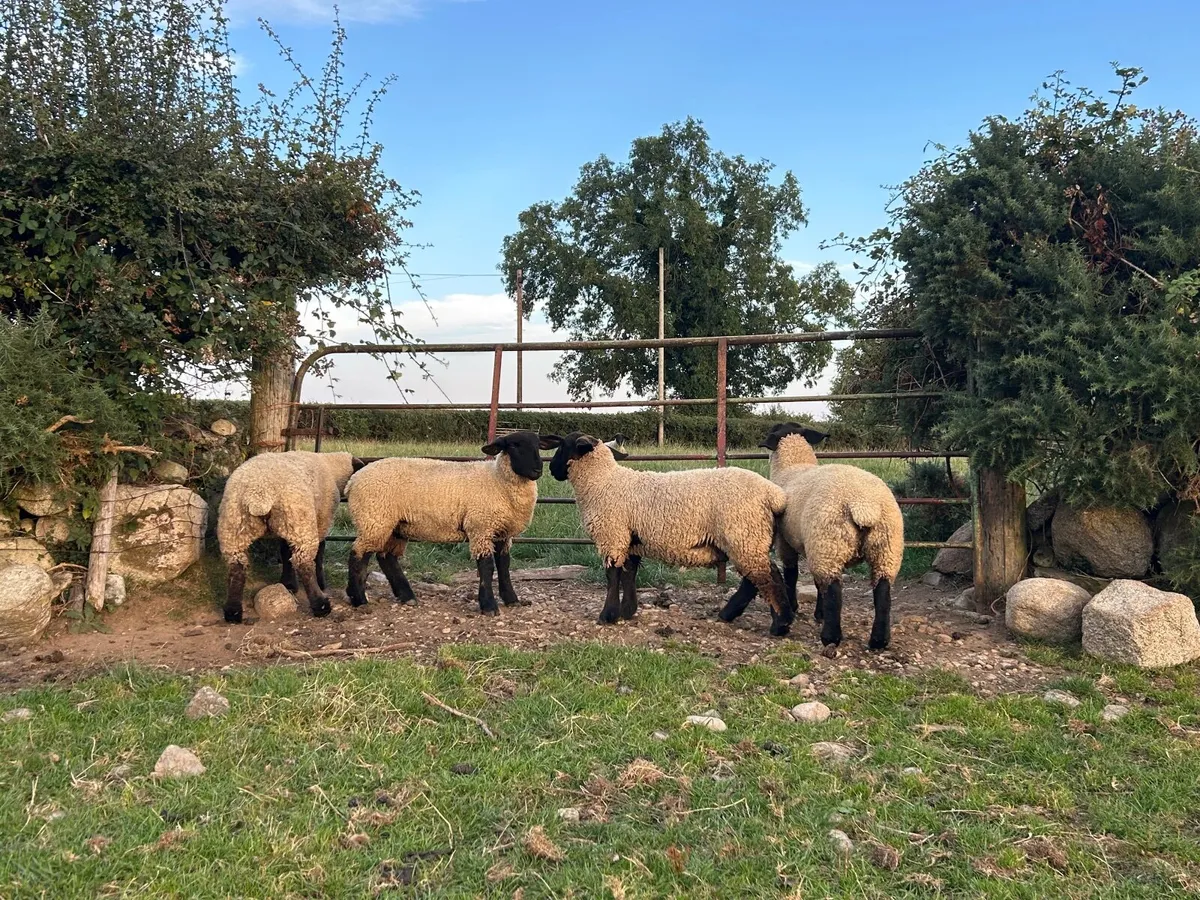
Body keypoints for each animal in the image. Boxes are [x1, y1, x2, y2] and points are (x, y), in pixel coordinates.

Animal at [217, 450, 364, 624]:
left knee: (237, 567)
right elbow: (320, 552)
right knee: (304, 564)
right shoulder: (322, 519)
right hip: (300, 523)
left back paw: (232, 612)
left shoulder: (287, 528)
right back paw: (321, 605)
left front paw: (288, 584)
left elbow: (285, 551)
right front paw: (320, 582)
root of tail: (258, 494)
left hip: (235, 527)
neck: (331, 468)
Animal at [345, 431, 560, 615]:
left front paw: (511, 599)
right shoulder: (480, 528)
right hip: (374, 518)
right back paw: (359, 599)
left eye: (538, 445)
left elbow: (504, 566)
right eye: (514, 445)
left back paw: (406, 596)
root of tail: (354, 479)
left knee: (386, 557)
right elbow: (487, 567)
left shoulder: (503, 533)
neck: (497, 480)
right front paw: (489, 605)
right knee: (358, 555)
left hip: (394, 525)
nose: (537, 470)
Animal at [545, 432, 794, 636]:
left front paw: (608, 615)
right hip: (750, 538)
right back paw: (731, 614)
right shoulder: (631, 541)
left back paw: (780, 624)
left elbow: (613, 576)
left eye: (563, 445)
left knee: (768, 578)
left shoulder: (613, 536)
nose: (551, 470)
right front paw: (627, 611)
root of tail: (774, 494)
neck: (602, 481)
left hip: (745, 534)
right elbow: (629, 575)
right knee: (756, 580)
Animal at [718, 423, 904, 651]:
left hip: (828, 542)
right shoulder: (809, 545)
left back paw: (830, 637)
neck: (793, 466)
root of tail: (863, 505)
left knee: (834, 591)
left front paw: (796, 606)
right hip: (885, 548)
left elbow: (792, 574)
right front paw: (818, 613)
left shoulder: (786, 542)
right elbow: (816, 583)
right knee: (882, 592)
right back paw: (879, 641)